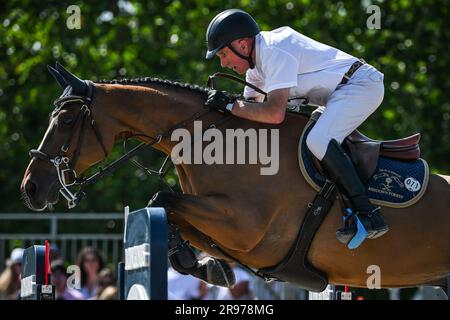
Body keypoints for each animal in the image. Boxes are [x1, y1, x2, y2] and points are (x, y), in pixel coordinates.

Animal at [19, 63, 448, 292]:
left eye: (67, 119)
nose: (31, 188)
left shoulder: (247, 229)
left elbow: (162, 200)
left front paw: (201, 264)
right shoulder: (226, 230)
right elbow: (173, 215)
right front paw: (207, 266)